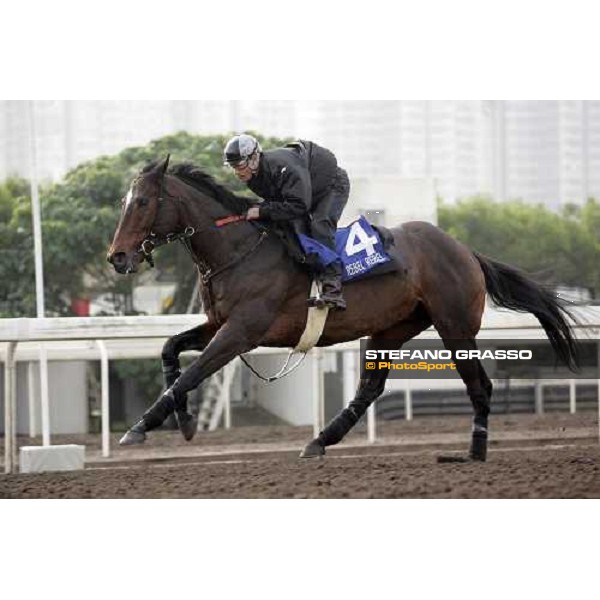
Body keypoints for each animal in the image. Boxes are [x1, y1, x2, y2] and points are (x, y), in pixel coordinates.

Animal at [106, 155, 576, 460]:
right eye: (122, 203)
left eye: (142, 202)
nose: (117, 257)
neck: (238, 249)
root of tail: (465, 250)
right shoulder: (218, 322)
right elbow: (170, 350)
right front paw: (183, 421)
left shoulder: (242, 330)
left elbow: (193, 373)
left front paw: (138, 428)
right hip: (391, 328)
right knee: (370, 388)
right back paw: (319, 441)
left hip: (455, 326)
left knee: (480, 385)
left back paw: (475, 451)